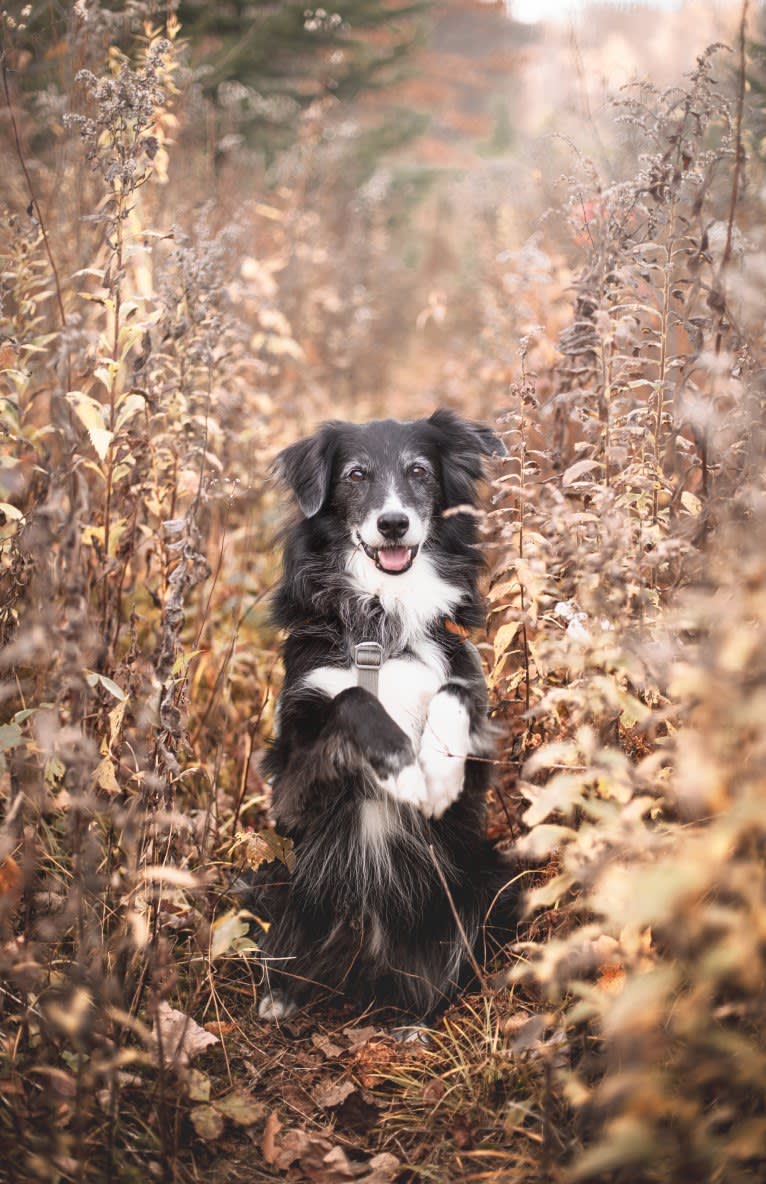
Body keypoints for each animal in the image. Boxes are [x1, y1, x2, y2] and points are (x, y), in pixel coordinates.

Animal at [254, 412, 518, 1022]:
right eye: (356, 475)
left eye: (419, 472)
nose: (393, 523)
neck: (382, 618)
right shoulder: (291, 780)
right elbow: (354, 700)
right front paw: (401, 767)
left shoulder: (467, 695)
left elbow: (453, 691)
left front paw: (435, 775)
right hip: (276, 870)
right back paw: (280, 997)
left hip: (488, 875)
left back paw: (414, 1019)